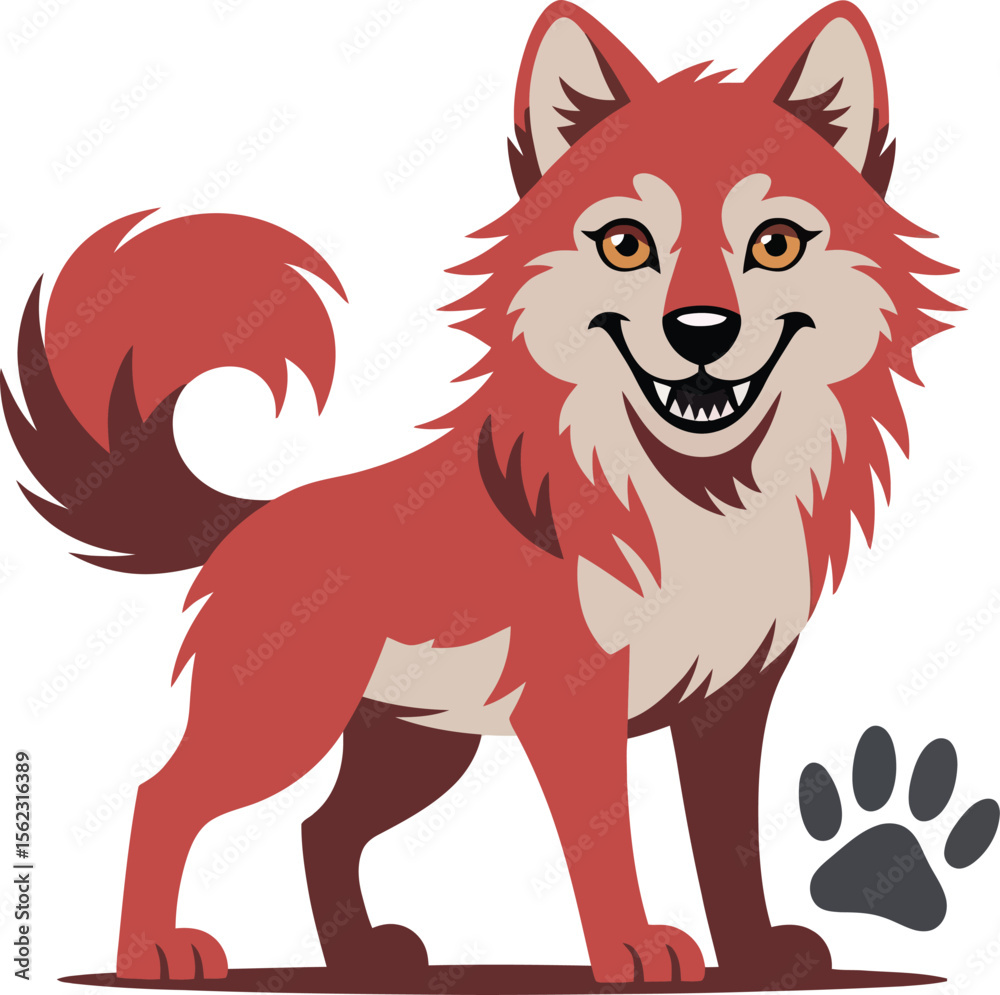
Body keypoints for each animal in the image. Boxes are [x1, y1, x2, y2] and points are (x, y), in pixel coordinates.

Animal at [3, 0, 955, 985]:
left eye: (775, 244)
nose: (702, 330)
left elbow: (728, 845)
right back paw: (152, 949)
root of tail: (254, 518)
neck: (699, 497)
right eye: (627, 244)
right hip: (285, 726)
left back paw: (361, 956)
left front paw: (757, 953)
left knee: (317, 827)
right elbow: (605, 843)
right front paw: (631, 946)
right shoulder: (576, 703)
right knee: (163, 797)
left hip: (417, 748)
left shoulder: (731, 703)